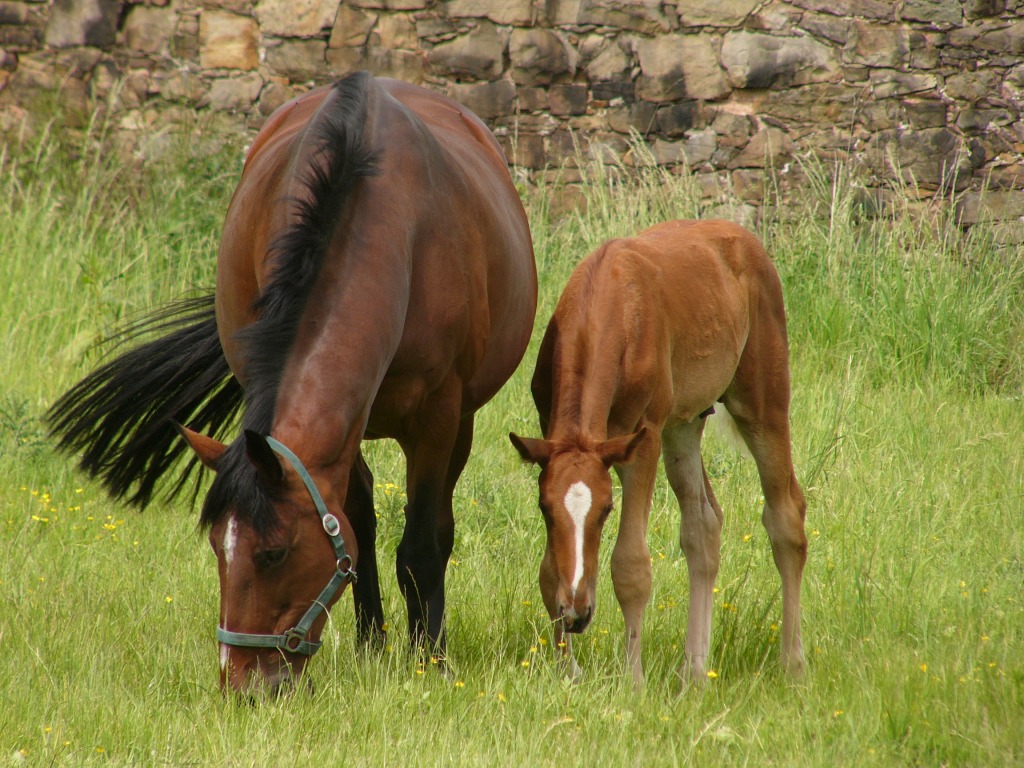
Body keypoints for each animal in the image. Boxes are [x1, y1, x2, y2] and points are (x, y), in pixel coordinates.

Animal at [48, 73, 540, 696]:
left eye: (274, 554)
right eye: (217, 547)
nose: (243, 685)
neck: (394, 229)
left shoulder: (438, 418)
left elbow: (423, 546)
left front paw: (431, 661)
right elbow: (356, 529)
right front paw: (376, 647)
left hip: (461, 421)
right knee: (363, 521)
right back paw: (372, 643)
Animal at [507, 219, 802, 688]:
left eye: (606, 510)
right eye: (544, 508)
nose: (577, 613)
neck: (610, 306)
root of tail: (744, 237)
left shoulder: (641, 442)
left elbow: (631, 565)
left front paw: (633, 681)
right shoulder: (550, 436)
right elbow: (549, 569)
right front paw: (567, 671)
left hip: (761, 403)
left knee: (786, 517)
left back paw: (792, 664)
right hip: (684, 424)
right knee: (703, 526)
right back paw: (694, 672)